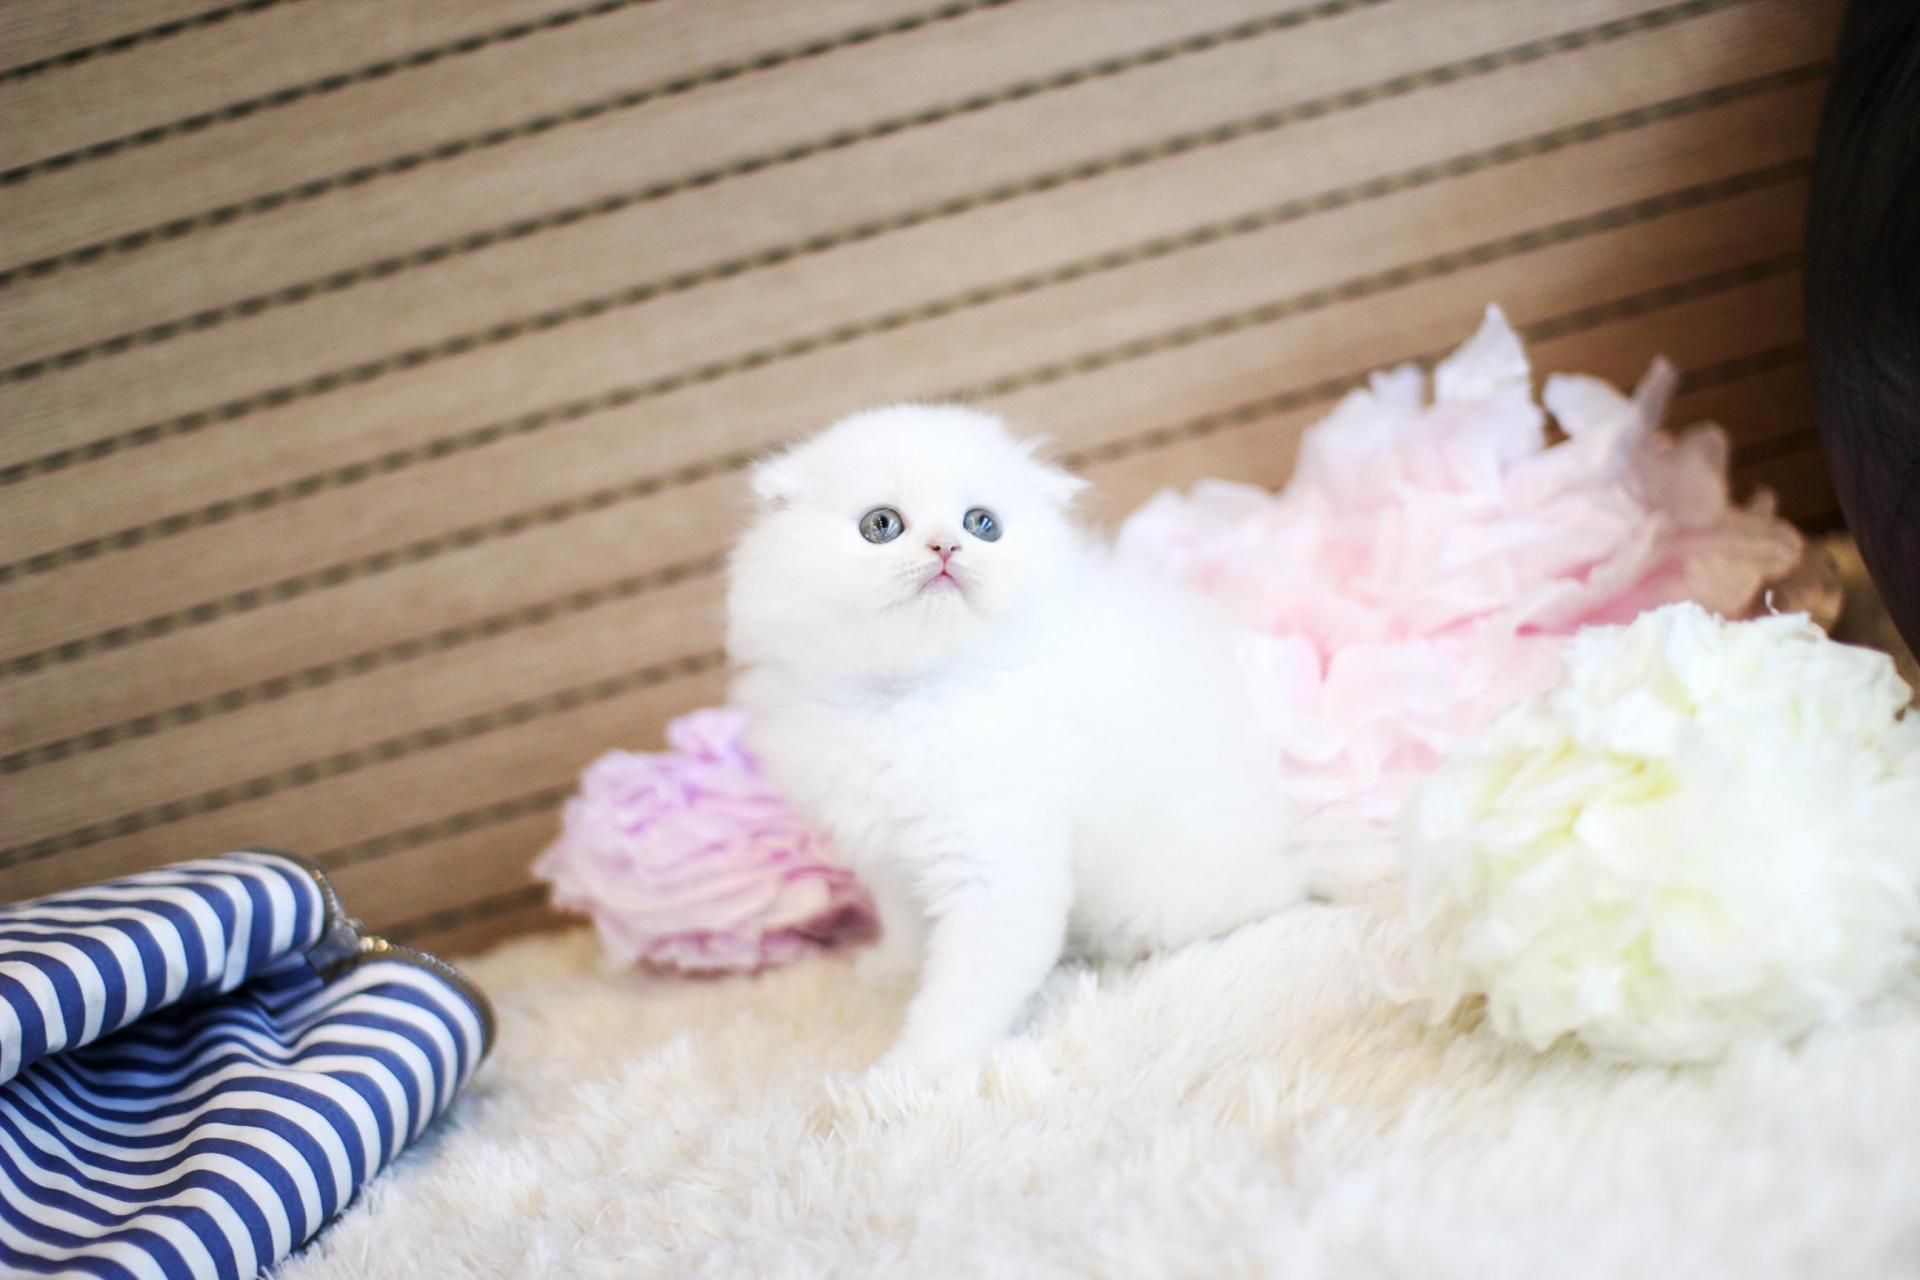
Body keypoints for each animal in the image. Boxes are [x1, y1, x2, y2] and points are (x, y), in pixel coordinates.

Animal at [726, 404, 1310, 1073]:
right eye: (882, 525)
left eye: (983, 525)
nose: (946, 545)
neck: (910, 695)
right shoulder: (888, 853)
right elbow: (905, 926)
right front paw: (891, 969)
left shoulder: (996, 861)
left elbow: (960, 995)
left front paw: (912, 1070)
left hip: (1169, 893)